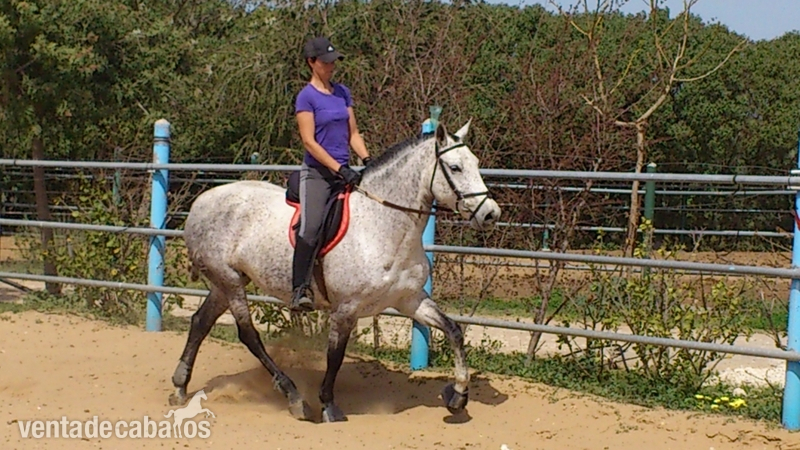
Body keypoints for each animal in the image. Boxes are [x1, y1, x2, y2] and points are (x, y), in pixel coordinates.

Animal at [169, 119, 502, 423]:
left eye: (475, 163)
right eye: (455, 168)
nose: (490, 214)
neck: (383, 225)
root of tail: (202, 201)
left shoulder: (409, 299)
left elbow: (453, 330)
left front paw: (458, 396)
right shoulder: (346, 308)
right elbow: (335, 355)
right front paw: (328, 405)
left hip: (225, 281)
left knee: (200, 322)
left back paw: (180, 387)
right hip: (230, 281)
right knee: (248, 334)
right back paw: (294, 398)